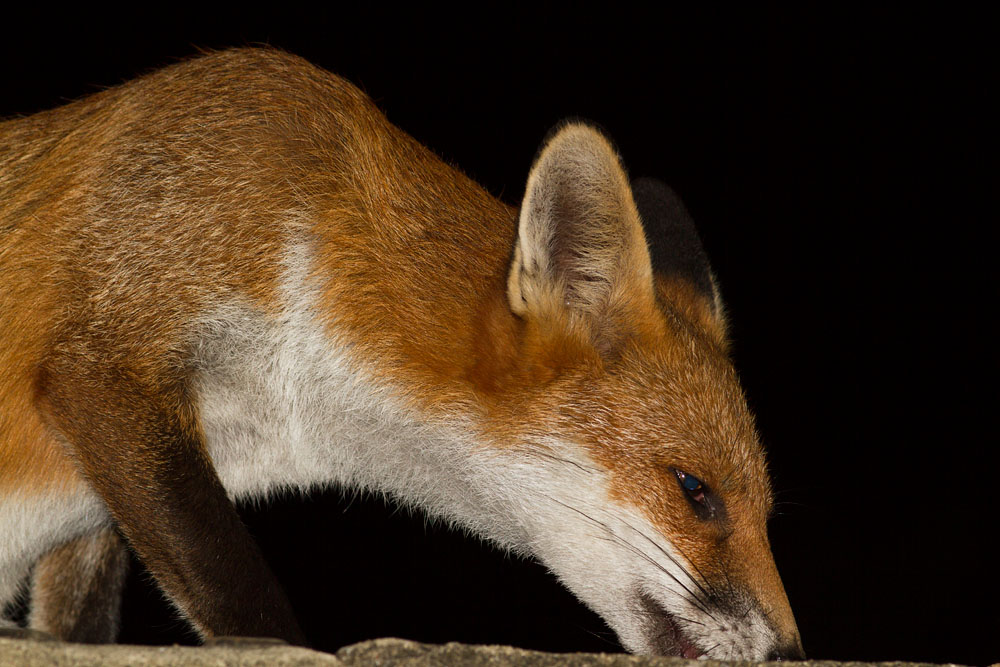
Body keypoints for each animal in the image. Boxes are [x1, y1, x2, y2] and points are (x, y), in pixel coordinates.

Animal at [0, 47, 803, 659]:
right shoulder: (108, 363)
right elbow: (241, 595)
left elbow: (79, 617)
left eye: (766, 514)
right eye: (695, 490)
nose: (792, 653)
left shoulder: (99, 505)